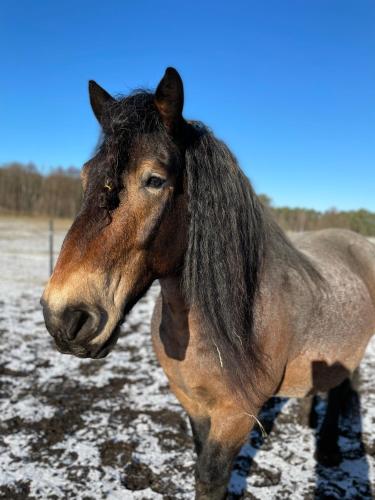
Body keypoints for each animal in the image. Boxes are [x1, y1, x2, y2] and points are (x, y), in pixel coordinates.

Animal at [41, 67, 375, 500]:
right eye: (85, 176)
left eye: (154, 180)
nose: (64, 316)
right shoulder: (193, 404)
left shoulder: (237, 414)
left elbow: (211, 475)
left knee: (347, 386)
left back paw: (331, 448)